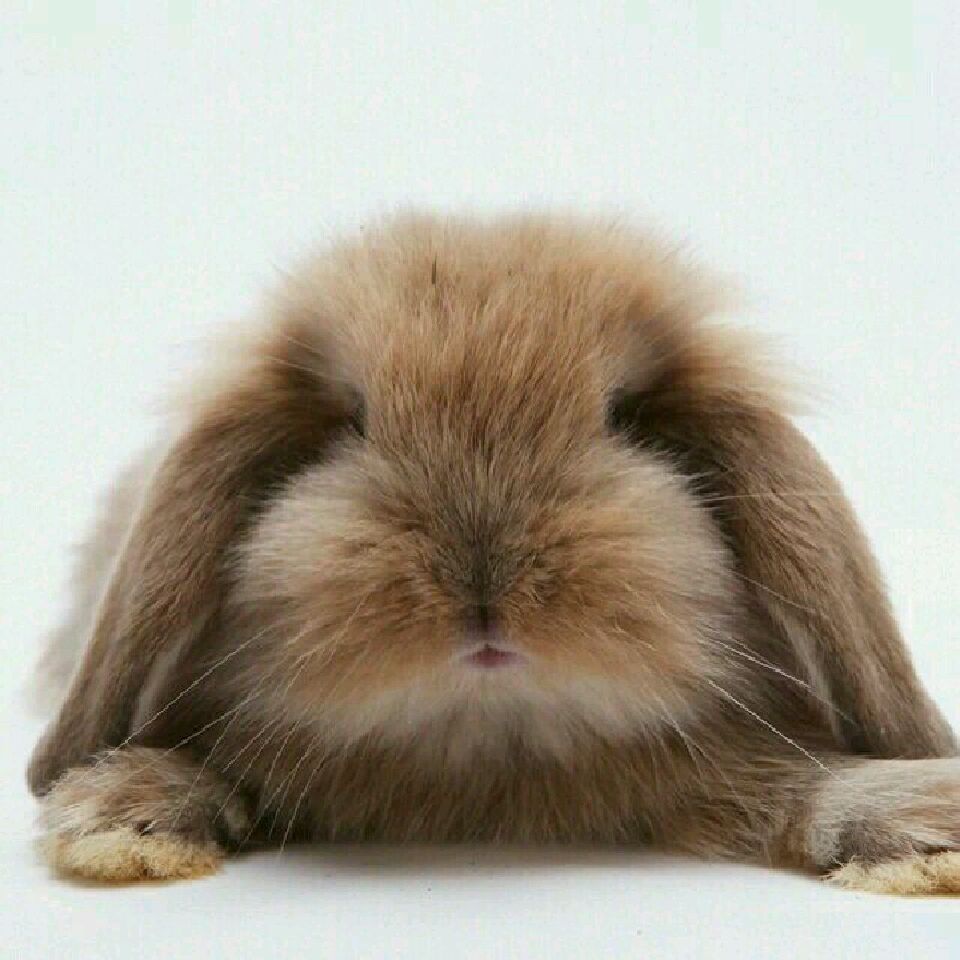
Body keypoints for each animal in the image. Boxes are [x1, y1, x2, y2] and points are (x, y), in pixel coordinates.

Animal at [28, 212, 960, 894]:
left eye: (624, 416)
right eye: (351, 419)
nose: (482, 581)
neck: (483, 764)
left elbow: (804, 788)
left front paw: (924, 830)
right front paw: (128, 817)